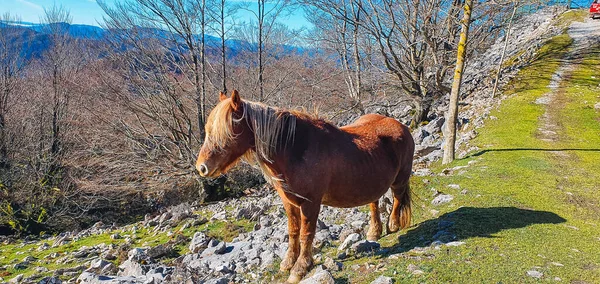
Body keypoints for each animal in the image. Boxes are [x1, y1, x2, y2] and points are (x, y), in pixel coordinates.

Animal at [196, 90, 412, 282]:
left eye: (227, 131)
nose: (202, 167)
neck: (296, 149)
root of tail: (400, 125)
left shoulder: (310, 203)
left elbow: (306, 234)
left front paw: (300, 268)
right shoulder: (289, 202)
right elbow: (293, 232)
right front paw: (288, 262)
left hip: (400, 180)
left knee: (397, 198)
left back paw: (393, 225)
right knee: (374, 203)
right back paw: (374, 232)